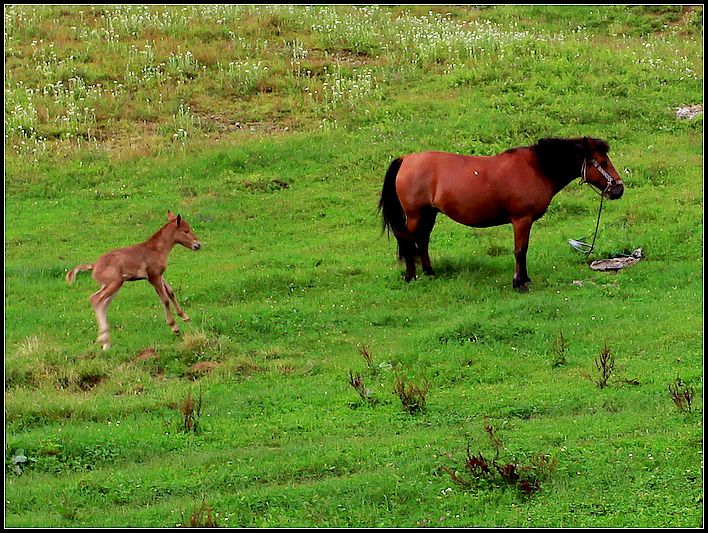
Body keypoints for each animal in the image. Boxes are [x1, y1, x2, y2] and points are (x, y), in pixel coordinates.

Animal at [66, 212, 201, 350]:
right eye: (186, 230)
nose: (197, 245)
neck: (155, 249)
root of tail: (94, 266)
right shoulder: (153, 277)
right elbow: (164, 299)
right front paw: (174, 327)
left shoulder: (160, 275)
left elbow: (171, 292)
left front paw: (185, 317)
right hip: (115, 283)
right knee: (95, 299)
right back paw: (104, 340)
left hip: (112, 286)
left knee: (102, 303)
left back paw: (105, 341)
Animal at [378, 135, 624, 288]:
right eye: (601, 162)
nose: (618, 189)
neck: (537, 168)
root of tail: (405, 160)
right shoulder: (521, 220)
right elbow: (520, 251)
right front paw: (519, 283)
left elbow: (523, 250)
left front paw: (525, 278)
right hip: (415, 215)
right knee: (407, 241)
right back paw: (411, 276)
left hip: (429, 214)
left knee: (422, 241)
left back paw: (429, 273)